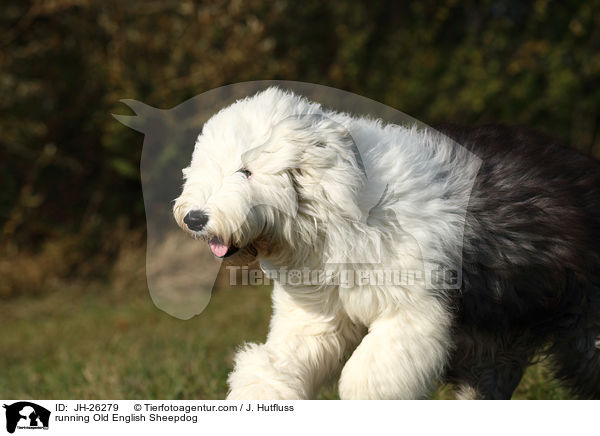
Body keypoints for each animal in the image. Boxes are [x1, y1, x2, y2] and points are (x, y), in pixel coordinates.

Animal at [172, 86, 600, 398]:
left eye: (246, 171)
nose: (194, 219)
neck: (336, 207)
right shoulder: (315, 318)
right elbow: (274, 364)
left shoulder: (411, 314)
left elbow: (369, 378)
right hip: (496, 344)